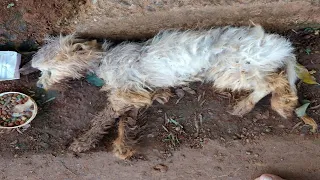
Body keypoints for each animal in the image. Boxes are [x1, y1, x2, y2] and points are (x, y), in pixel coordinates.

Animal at [31, 25, 298, 159]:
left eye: (46, 71)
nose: (38, 86)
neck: (102, 61)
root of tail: (280, 44)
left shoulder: (124, 92)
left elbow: (104, 117)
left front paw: (83, 142)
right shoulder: (135, 93)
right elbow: (127, 120)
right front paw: (124, 146)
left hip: (231, 70)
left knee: (273, 81)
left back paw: (276, 104)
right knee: (272, 79)